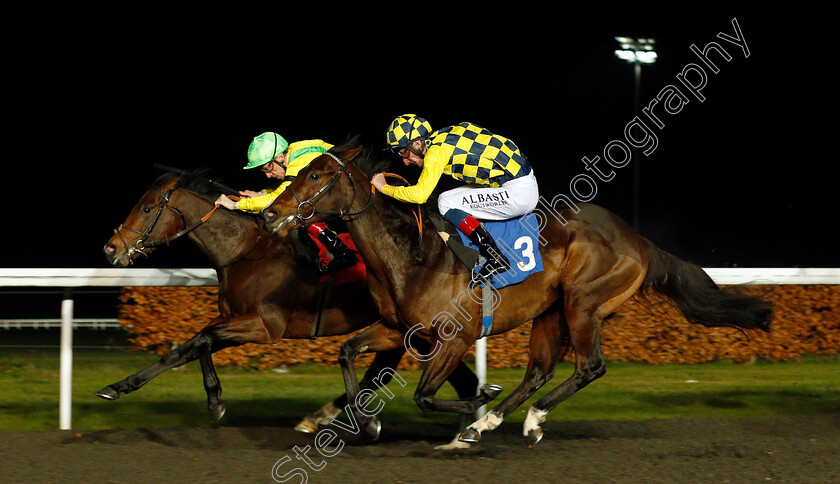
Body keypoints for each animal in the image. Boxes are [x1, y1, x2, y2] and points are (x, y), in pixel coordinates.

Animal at [99, 170, 488, 438]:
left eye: (146, 207)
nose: (111, 248)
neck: (246, 251)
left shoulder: (264, 326)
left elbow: (203, 341)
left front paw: (215, 402)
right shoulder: (237, 319)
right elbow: (186, 348)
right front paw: (117, 387)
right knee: (401, 372)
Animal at [262, 140, 776, 446]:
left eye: (313, 176)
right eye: (292, 175)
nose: (270, 214)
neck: (411, 257)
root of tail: (639, 240)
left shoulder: (454, 338)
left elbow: (426, 395)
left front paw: (475, 401)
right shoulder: (400, 329)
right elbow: (348, 352)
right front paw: (364, 419)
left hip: (584, 303)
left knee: (590, 366)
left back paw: (512, 420)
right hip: (551, 312)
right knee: (539, 371)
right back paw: (494, 421)